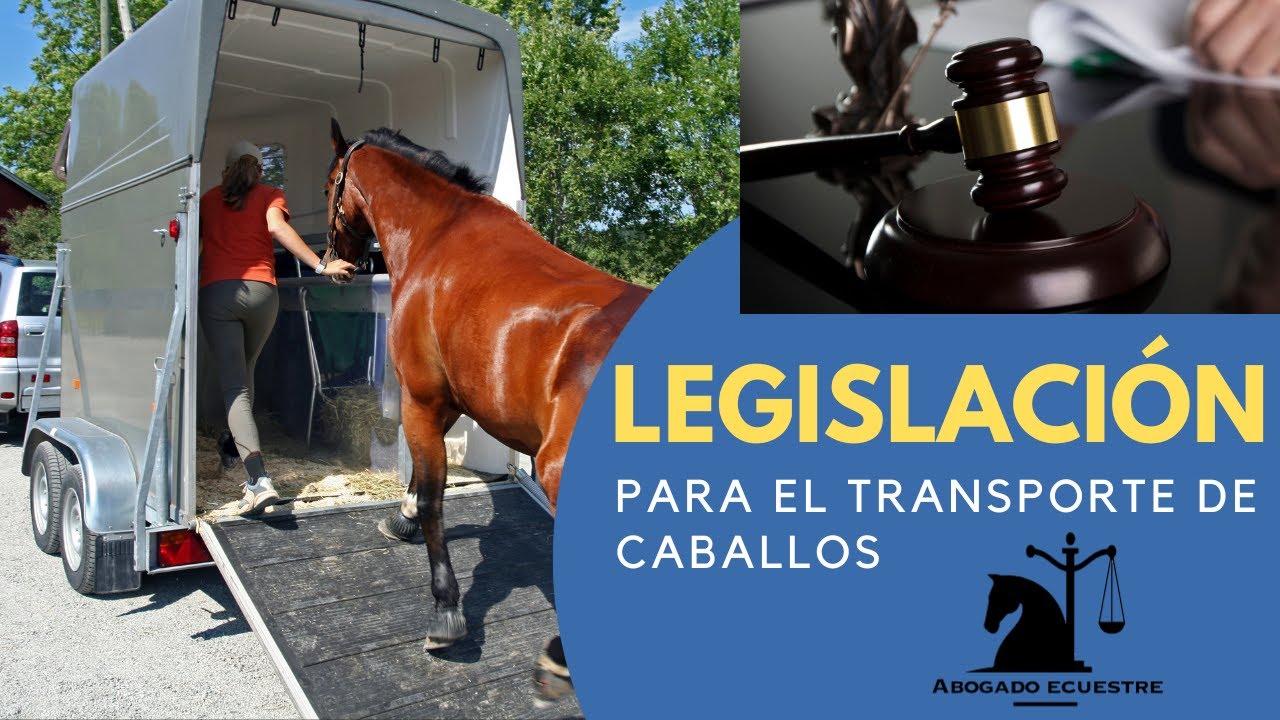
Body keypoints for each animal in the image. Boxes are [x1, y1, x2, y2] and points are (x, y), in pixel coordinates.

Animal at [322, 118, 651, 699]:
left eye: (327, 188)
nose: (334, 261)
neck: (438, 236)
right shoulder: (451, 398)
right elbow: (422, 487)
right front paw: (401, 518)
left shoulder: (422, 397)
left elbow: (434, 498)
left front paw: (445, 610)